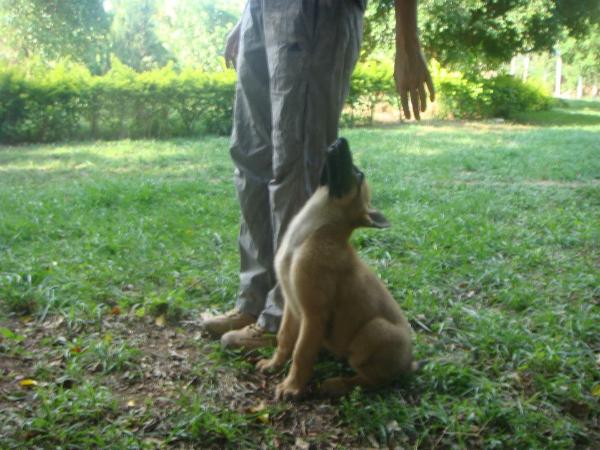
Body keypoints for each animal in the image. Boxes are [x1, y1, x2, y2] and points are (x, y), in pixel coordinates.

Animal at [258, 136, 418, 398]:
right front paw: (274, 364)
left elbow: (301, 352)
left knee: (373, 380)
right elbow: (284, 338)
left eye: (359, 174)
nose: (342, 139)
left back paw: (336, 384)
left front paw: (292, 387)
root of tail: (409, 364)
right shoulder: (291, 304)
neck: (311, 234)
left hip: (373, 331)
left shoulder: (314, 314)